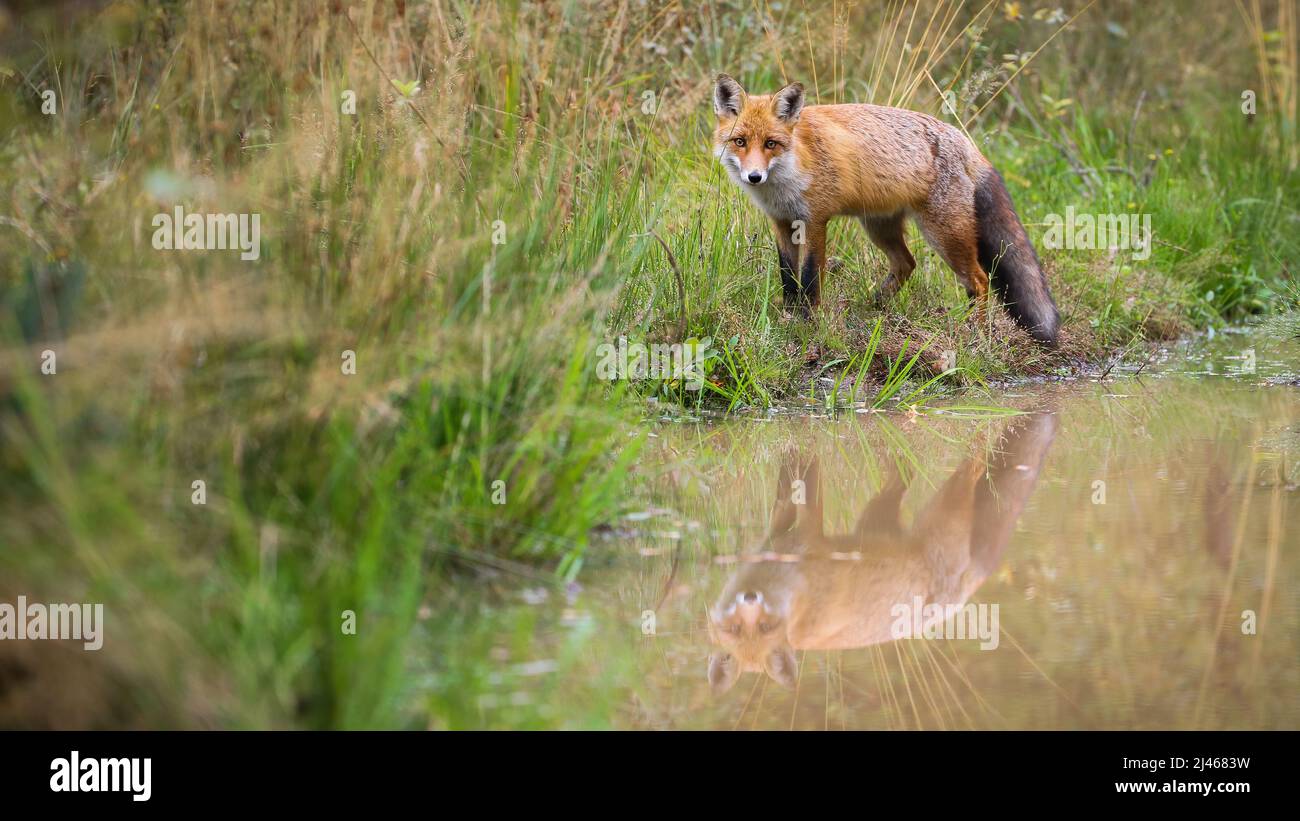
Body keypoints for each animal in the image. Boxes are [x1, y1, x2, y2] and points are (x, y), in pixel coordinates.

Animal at [717, 75, 1060, 345]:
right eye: (740, 141)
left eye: (771, 144)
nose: (754, 177)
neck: (792, 168)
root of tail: (965, 140)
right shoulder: (781, 221)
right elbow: (788, 278)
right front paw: (788, 319)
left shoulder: (815, 220)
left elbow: (811, 277)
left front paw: (809, 323)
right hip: (879, 227)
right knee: (907, 264)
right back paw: (876, 305)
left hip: (945, 234)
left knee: (978, 280)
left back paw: (974, 332)